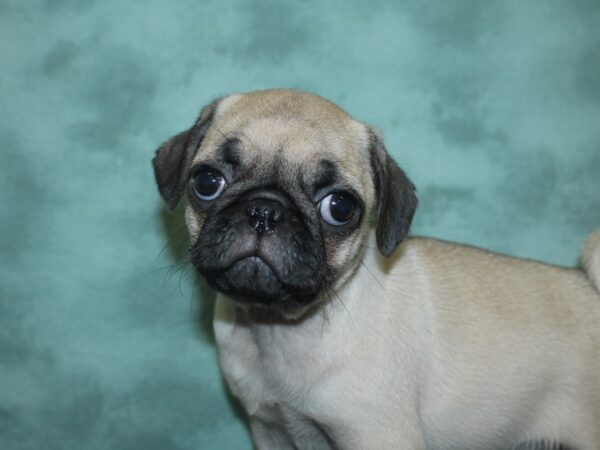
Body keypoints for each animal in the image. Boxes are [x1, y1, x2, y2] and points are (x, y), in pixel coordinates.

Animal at [154, 89, 600, 450]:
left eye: (339, 207)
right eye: (207, 182)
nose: (265, 211)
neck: (277, 328)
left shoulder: (376, 435)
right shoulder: (271, 429)